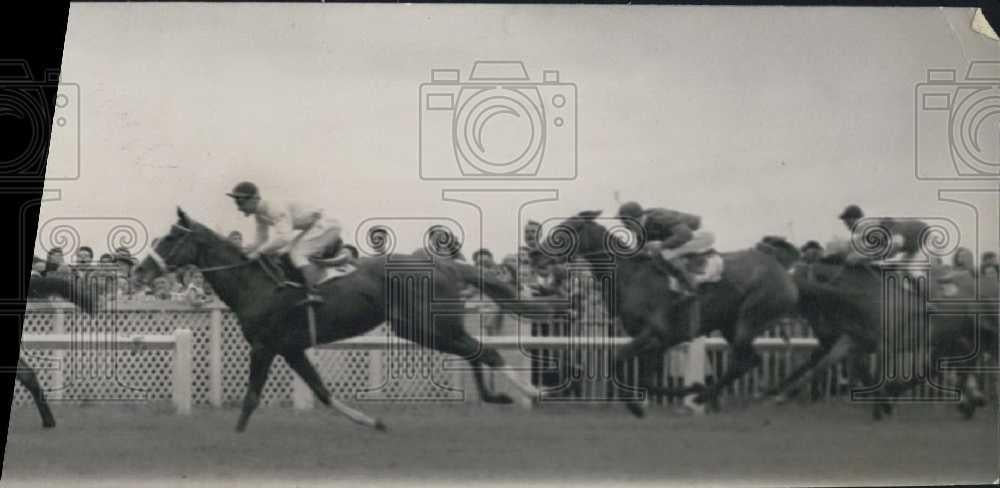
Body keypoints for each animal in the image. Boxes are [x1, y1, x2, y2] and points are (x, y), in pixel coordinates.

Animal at [131, 208, 556, 432]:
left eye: (170, 239)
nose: (139, 271)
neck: (256, 284)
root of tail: (446, 264)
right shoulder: (291, 348)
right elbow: (322, 391)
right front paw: (372, 422)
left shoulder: (265, 347)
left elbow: (251, 397)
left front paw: (234, 437)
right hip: (426, 328)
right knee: (475, 352)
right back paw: (498, 396)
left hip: (425, 326)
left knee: (486, 352)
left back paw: (531, 392)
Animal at [544, 210, 800, 416]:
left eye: (568, 228)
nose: (539, 252)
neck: (631, 276)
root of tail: (781, 269)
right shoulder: (657, 343)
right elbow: (647, 380)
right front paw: (687, 389)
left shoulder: (653, 334)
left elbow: (617, 361)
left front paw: (636, 406)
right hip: (731, 325)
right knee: (750, 361)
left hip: (750, 318)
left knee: (741, 362)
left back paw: (706, 395)